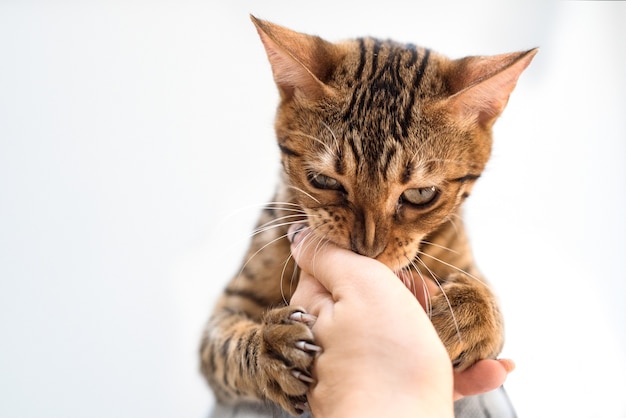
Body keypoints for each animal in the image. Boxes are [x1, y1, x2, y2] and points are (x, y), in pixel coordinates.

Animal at [200, 15, 536, 414]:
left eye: (421, 194)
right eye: (324, 180)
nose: (367, 250)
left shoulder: (463, 260)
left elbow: (488, 295)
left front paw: (467, 318)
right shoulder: (230, 306)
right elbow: (224, 348)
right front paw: (270, 348)